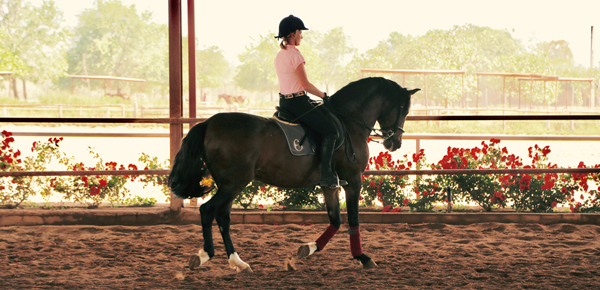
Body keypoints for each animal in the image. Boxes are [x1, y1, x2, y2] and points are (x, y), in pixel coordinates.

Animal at [170, 76, 418, 272]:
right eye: (404, 110)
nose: (394, 142)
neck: (349, 121)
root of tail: (209, 123)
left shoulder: (329, 184)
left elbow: (336, 220)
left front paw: (307, 249)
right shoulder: (353, 181)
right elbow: (353, 220)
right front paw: (363, 257)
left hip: (229, 184)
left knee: (222, 217)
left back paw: (237, 262)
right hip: (234, 183)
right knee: (207, 211)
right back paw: (207, 256)